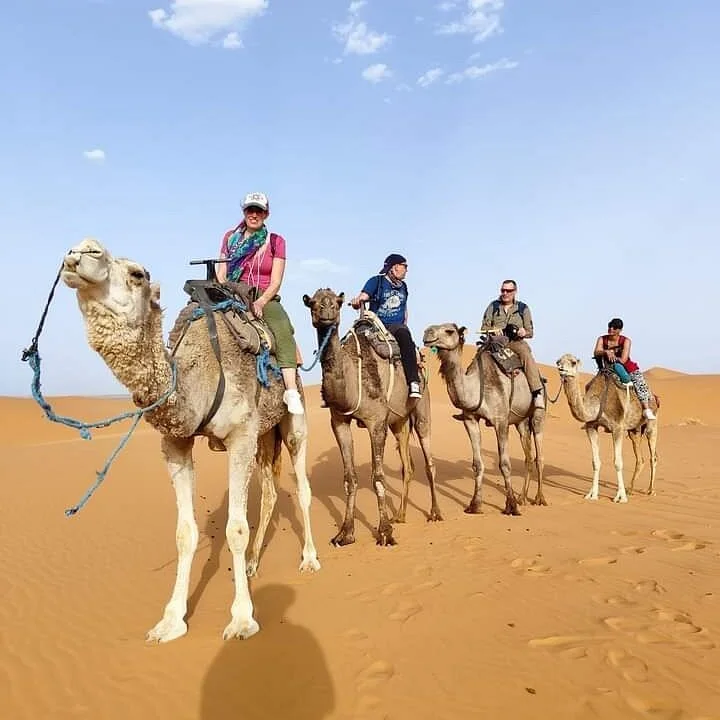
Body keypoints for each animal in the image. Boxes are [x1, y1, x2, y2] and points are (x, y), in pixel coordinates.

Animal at [60, 238, 320, 643]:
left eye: (137, 274)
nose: (82, 251)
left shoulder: (241, 435)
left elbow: (235, 528)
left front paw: (242, 619)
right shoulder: (176, 443)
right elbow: (185, 533)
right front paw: (170, 621)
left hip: (293, 423)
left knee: (303, 485)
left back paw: (309, 558)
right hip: (265, 433)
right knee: (270, 490)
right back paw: (252, 564)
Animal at [302, 288, 441, 547]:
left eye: (337, 303)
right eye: (313, 303)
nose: (326, 313)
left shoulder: (376, 422)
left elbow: (378, 477)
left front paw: (384, 532)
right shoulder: (339, 422)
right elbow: (350, 478)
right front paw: (345, 533)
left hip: (422, 408)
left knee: (429, 462)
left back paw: (435, 513)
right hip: (399, 421)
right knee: (408, 466)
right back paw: (400, 515)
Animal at [422, 323, 546, 515]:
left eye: (449, 331)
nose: (427, 333)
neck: (476, 387)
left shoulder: (501, 421)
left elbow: (504, 464)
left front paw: (511, 506)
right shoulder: (470, 420)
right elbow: (477, 464)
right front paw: (475, 505)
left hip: (537, 414)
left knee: (539, 456)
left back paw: (539, 498)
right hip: (521, 422)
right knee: (528, 456)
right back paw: (523, 498)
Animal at [555, 353, 659, 502]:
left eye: (573, 362)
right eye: (558, 361)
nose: (561, 368)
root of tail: (654, 396)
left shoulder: (617, 428)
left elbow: (618, 462)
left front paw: (620, 497)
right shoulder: (591, 427)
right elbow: (595, 462)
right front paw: (592, 495)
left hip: (652, 424)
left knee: (653, 456)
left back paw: (650, 490)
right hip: (634, 430)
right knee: (640, 459)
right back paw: (630, 489)